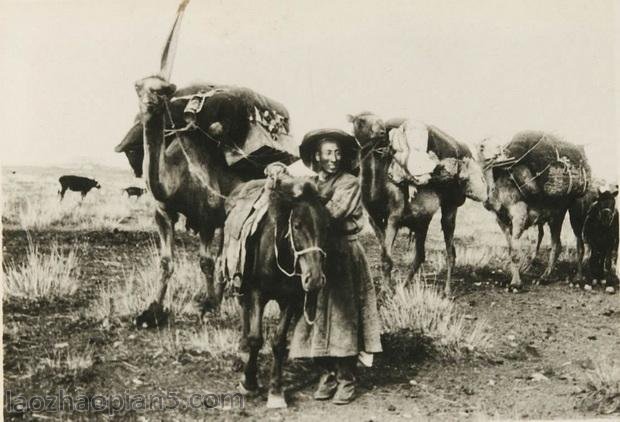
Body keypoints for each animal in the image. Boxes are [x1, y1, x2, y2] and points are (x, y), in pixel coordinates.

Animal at [346, 113, 486, 296]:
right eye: (361, 121)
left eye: (379, 120)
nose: (382, 132)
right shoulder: (374, 219)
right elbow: (384, 253)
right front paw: (387, 288)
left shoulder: (394, 217)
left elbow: (387, 258)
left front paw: (386, 291)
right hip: (421, 222)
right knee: (420, 255)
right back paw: (404, 286)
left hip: (450, 207)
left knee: (450, 251)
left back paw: (447, 290)